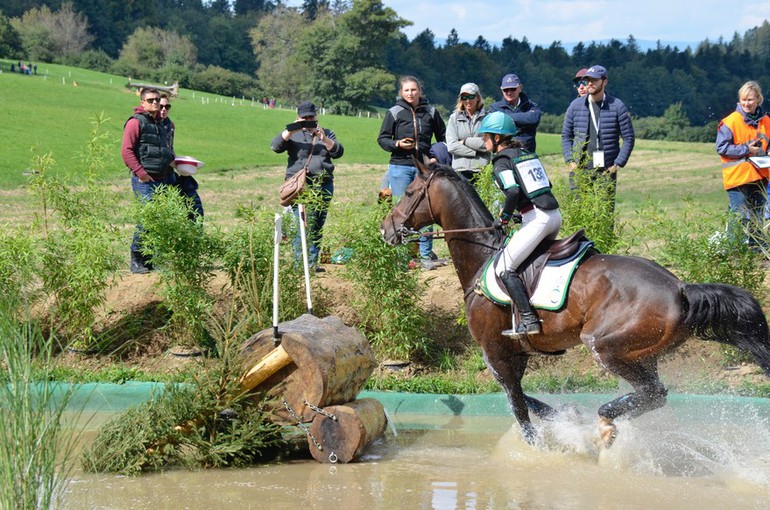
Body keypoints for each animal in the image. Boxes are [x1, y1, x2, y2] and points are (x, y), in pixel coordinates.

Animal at [380, 162, 768, 446]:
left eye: (411, 192)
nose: (387, 229)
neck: (481, 257)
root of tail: (680, 288)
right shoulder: (515, 353)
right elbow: (526, 398)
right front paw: (566, 416)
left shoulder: (495, 352)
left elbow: (518, 406)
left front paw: (540, 444)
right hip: (644, 353)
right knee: (652, 394)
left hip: (606, 346)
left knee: (653, 393)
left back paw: (606, 421)